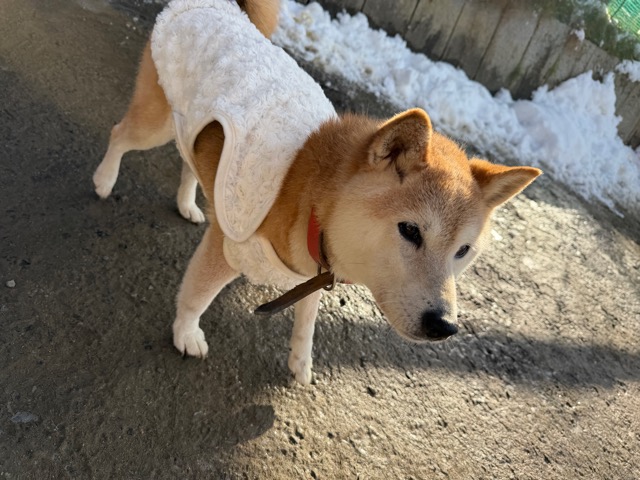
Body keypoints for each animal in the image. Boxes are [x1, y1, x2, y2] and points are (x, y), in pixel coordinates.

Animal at [93, 0, 541, 384]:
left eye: (463, 251)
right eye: (410, 231)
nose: (444, 325)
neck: (312, 201)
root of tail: (210, 5)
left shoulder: (313, 275)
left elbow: (306, 323)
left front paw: (300, 362)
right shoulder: (228, 248)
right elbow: (196, 297)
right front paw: (186, 334)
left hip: (194, 129)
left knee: (189, 161)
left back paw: (187, 203)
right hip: (156, 123)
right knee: (119, 134)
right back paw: (104, 180)